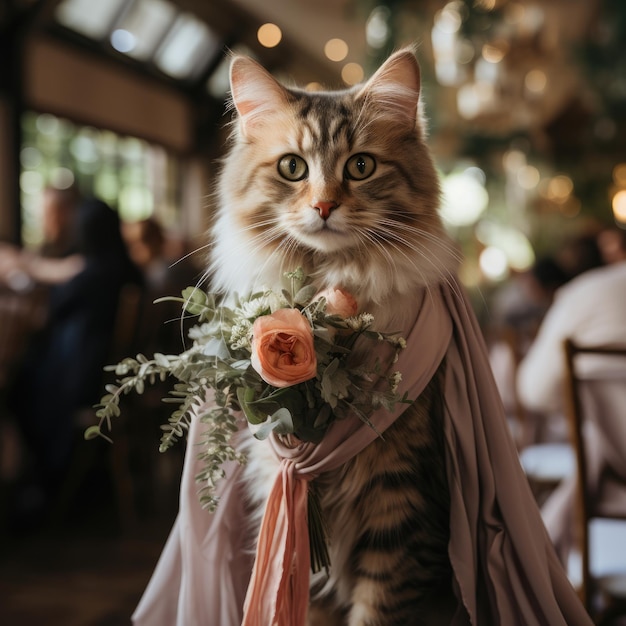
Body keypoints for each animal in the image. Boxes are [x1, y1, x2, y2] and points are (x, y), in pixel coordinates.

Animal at [207, 48, 460, 624]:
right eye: (292, 167)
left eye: (360, 166)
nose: (324, 206)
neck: (328, 283)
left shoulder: (402, 507)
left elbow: (375, 607)